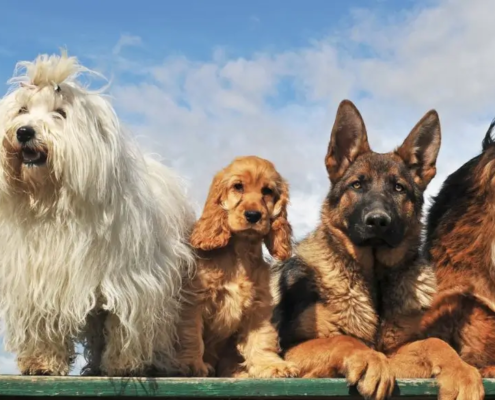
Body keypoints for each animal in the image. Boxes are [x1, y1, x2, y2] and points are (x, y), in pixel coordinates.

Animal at [0, 52, 197, 376]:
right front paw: (42, 362)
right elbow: (42, 322)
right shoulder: (38, 279)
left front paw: (122, 364)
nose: (24, 131)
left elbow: (122, 324)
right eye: (22, 110)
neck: (54, 201)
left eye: (60, 114)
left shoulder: (131, 283)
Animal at [174, 155, 298, 378]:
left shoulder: (258, 306)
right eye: (238, 186)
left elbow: (262, 339)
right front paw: (192, 364)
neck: (240, 251)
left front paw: (271, 365)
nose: (253, 215)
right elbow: (191, 333)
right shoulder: (194, 300)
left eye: (267, 191)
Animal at [272, 100, 484, 400]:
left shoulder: (397, 354)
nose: (378, 221)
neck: (374, 282)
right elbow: (344, 339)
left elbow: (434, 342)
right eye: (357, 185)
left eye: (399, 188)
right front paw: (371, 360)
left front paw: (463, 371)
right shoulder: (290, 351)